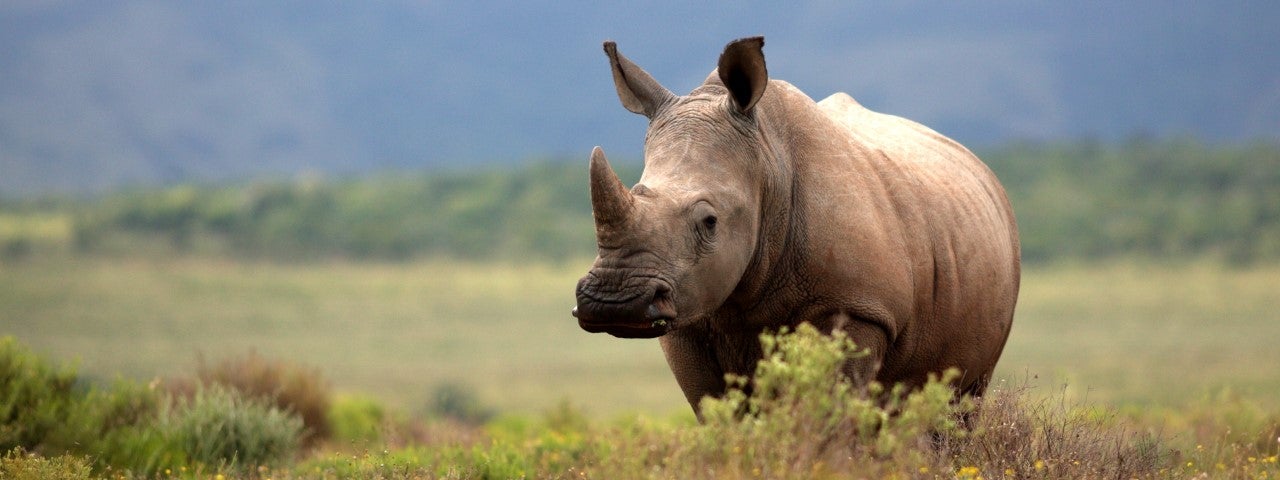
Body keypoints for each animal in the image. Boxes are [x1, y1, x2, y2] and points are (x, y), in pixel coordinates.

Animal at [573, 36, 1018, 417]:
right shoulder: (688, 316)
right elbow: (721, 414)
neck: (768, 165)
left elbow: (833, 413)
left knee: (959, 404)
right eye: (636, 191)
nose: (614, 303)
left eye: (710, 222)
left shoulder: (857, 308)